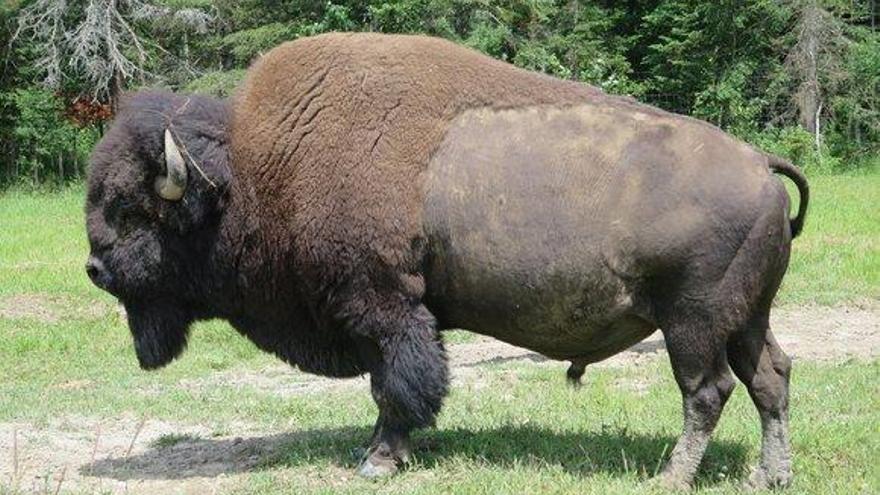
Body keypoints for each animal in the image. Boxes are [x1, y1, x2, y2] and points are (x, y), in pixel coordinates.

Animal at [86, 33, 808, 490]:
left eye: (132, 209)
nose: (95, 269)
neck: (254, 169)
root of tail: (760, 166)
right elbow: (398, 384)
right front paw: (386, 452)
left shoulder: (384, 307)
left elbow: (398, 384)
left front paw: (379, 460)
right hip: (747, 317)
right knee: (770, 378)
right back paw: (770, 475)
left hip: (692, 322)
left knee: (707, 391)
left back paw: (671, 476)